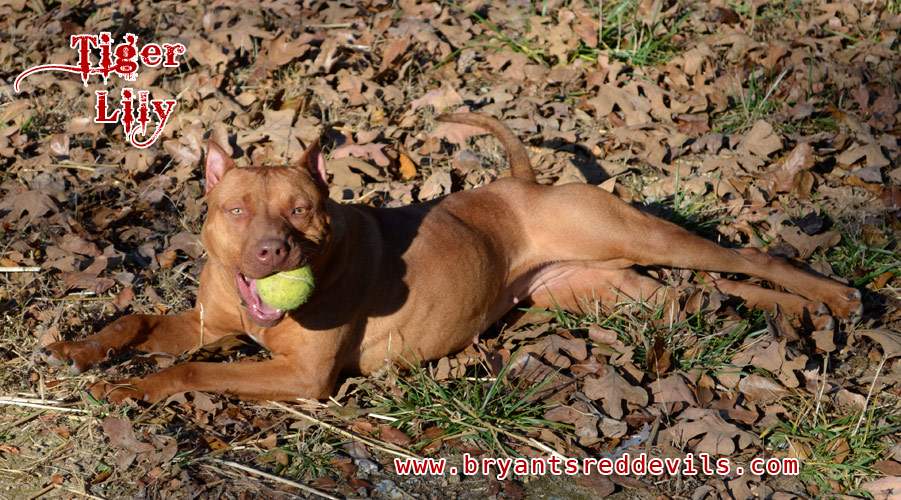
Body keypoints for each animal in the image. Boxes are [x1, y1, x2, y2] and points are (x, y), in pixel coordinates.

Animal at [38, 113, 860, 402]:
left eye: (303, 210)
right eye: (237, 210)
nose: (273, 249)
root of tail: (524, 184)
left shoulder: (300, 379)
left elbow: (188, 369)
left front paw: (134, 388)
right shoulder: (209, 325)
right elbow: (140, 324)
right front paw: (81, 348)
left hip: (636, 235)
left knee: (743, 258)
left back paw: (833, 296)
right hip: (599, 287)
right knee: (695, 293)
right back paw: (796, 313)